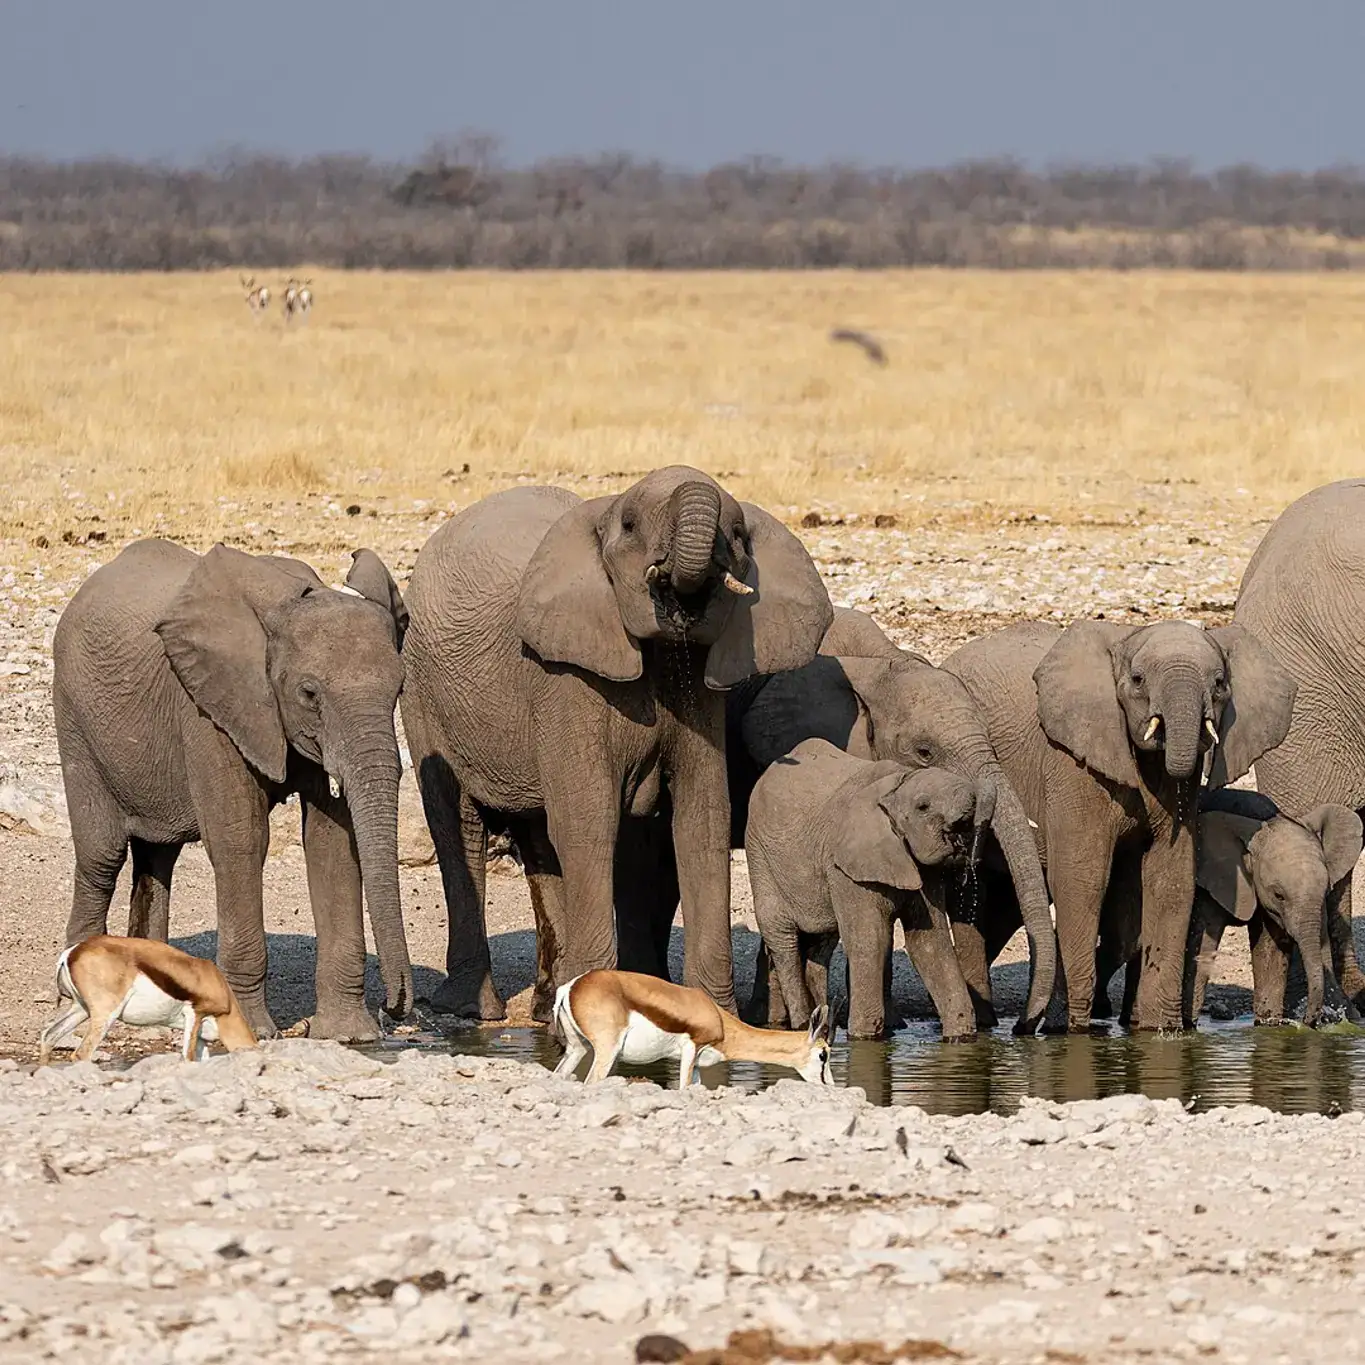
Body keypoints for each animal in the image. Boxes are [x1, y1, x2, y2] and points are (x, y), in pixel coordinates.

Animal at [51, 540, 413, 1040]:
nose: (395, 1008)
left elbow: (333, 845)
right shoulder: (209, 707)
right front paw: (249, 1033)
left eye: (400, 688)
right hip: (75, 716)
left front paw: (348, 1036)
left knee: (157, 856)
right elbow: (241, 840)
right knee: (101, 855)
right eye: (309, 694)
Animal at [400, 466, 833, 1021]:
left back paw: (544, 1007)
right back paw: (474, 1012)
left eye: (737, 536)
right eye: (628, 527)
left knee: (539, 838)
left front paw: (716, 1017)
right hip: (423, 692)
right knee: (460, 824)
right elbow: (590, 820)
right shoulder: (566, 677)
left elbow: (701, 820)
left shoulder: (698, 691)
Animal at [745, 738, 979, 1041]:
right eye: (923, 806)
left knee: (819, 944)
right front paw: (864, 1038)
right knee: (783, 938)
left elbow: (930, 942)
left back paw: (808, 1023)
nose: (962, 833)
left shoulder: (923, 869)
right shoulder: (844, 867)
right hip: (760, 857)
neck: (896, 786)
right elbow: (870, 940)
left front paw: (960, 1039)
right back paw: (801, 1025)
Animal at [942, 618, 1296, 1031]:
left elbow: (1170, 878)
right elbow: (1083, 878)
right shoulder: (1072, 766)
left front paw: (1161, 1030)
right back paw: (995, 1026)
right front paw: (1073, 1032)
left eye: (1221, 683)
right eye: (1138, 680)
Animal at [1183, 788, 1362, 1027]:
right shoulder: (1211, 880)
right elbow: (1202, 942)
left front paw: (1268, 1025)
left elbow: (1271, 951)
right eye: (1279, 895)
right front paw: (1188, 1025)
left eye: (1326, 890)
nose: (1307, 1020)